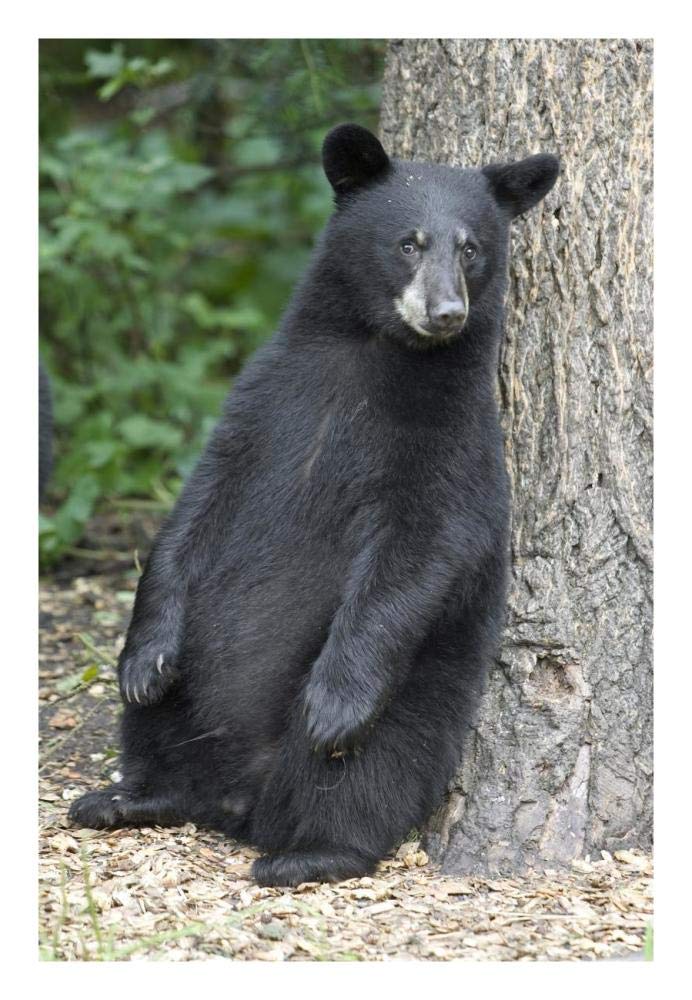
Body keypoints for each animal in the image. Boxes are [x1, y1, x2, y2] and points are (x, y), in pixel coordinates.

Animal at [69, 123, 559, 887]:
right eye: (408, 242)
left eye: (472, 247)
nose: (446, 313)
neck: (376, 352)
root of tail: (237, 801)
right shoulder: (264, 401)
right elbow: (196, 507)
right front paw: (143, 658)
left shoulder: (453, 441)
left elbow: (420, 548)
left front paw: (335, 703)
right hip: (193, 688)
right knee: (159, 724)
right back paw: (128, 796)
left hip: (413, 698)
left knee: (365, 772)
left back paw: (312, 850)